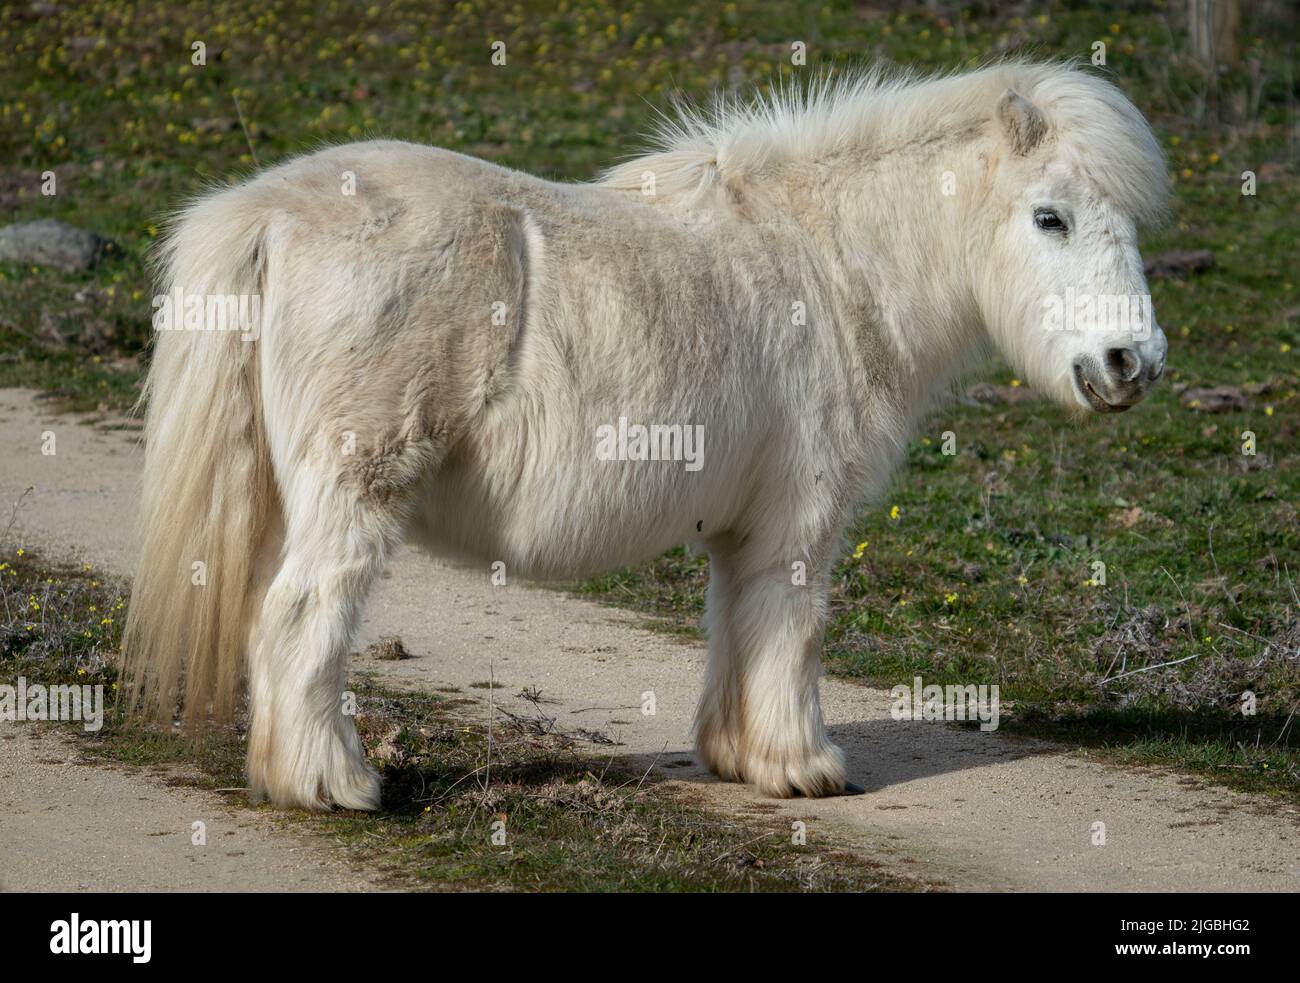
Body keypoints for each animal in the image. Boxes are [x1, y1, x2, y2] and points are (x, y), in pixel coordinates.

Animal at [126, 63, 1175, 816]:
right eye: (1050, 216)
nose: (1132, 361)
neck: (829, 263)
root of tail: (268, 213)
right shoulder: (801, 520)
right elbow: (793, 630)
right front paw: (803, 765)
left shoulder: (744, 529)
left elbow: (735, 627)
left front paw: (738, 757)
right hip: (354, 491)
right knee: (301, 616)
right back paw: (333, 784)